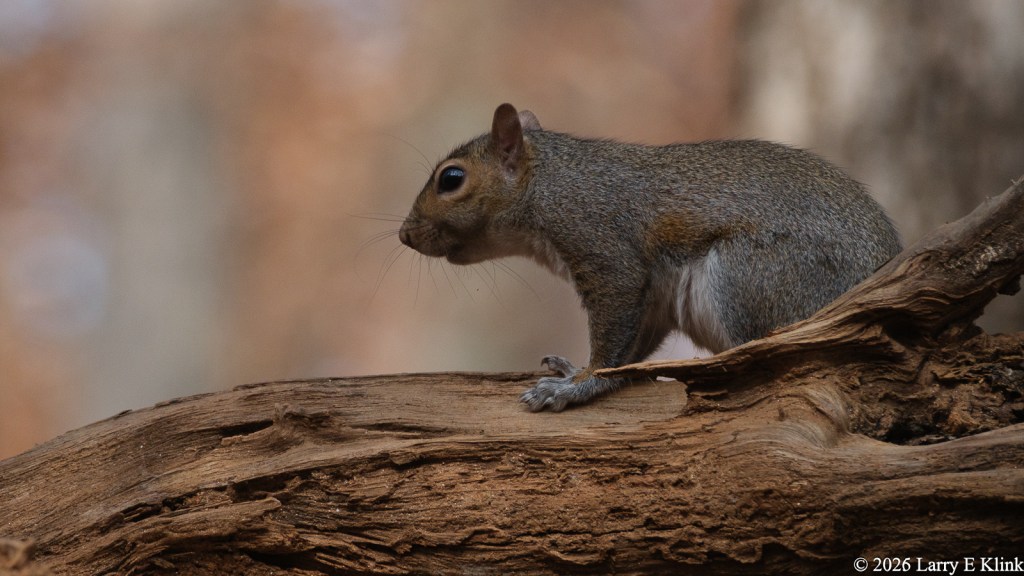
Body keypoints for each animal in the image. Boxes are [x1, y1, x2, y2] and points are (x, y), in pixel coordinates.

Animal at [399, 103, 901, 412]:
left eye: (451, 179)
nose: (404, 235)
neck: (548, 182)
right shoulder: (653, 298)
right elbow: (634, 346)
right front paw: (581, 372)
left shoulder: (605, 249)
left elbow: (613, 337)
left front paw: (577, 386)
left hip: (750, 277)